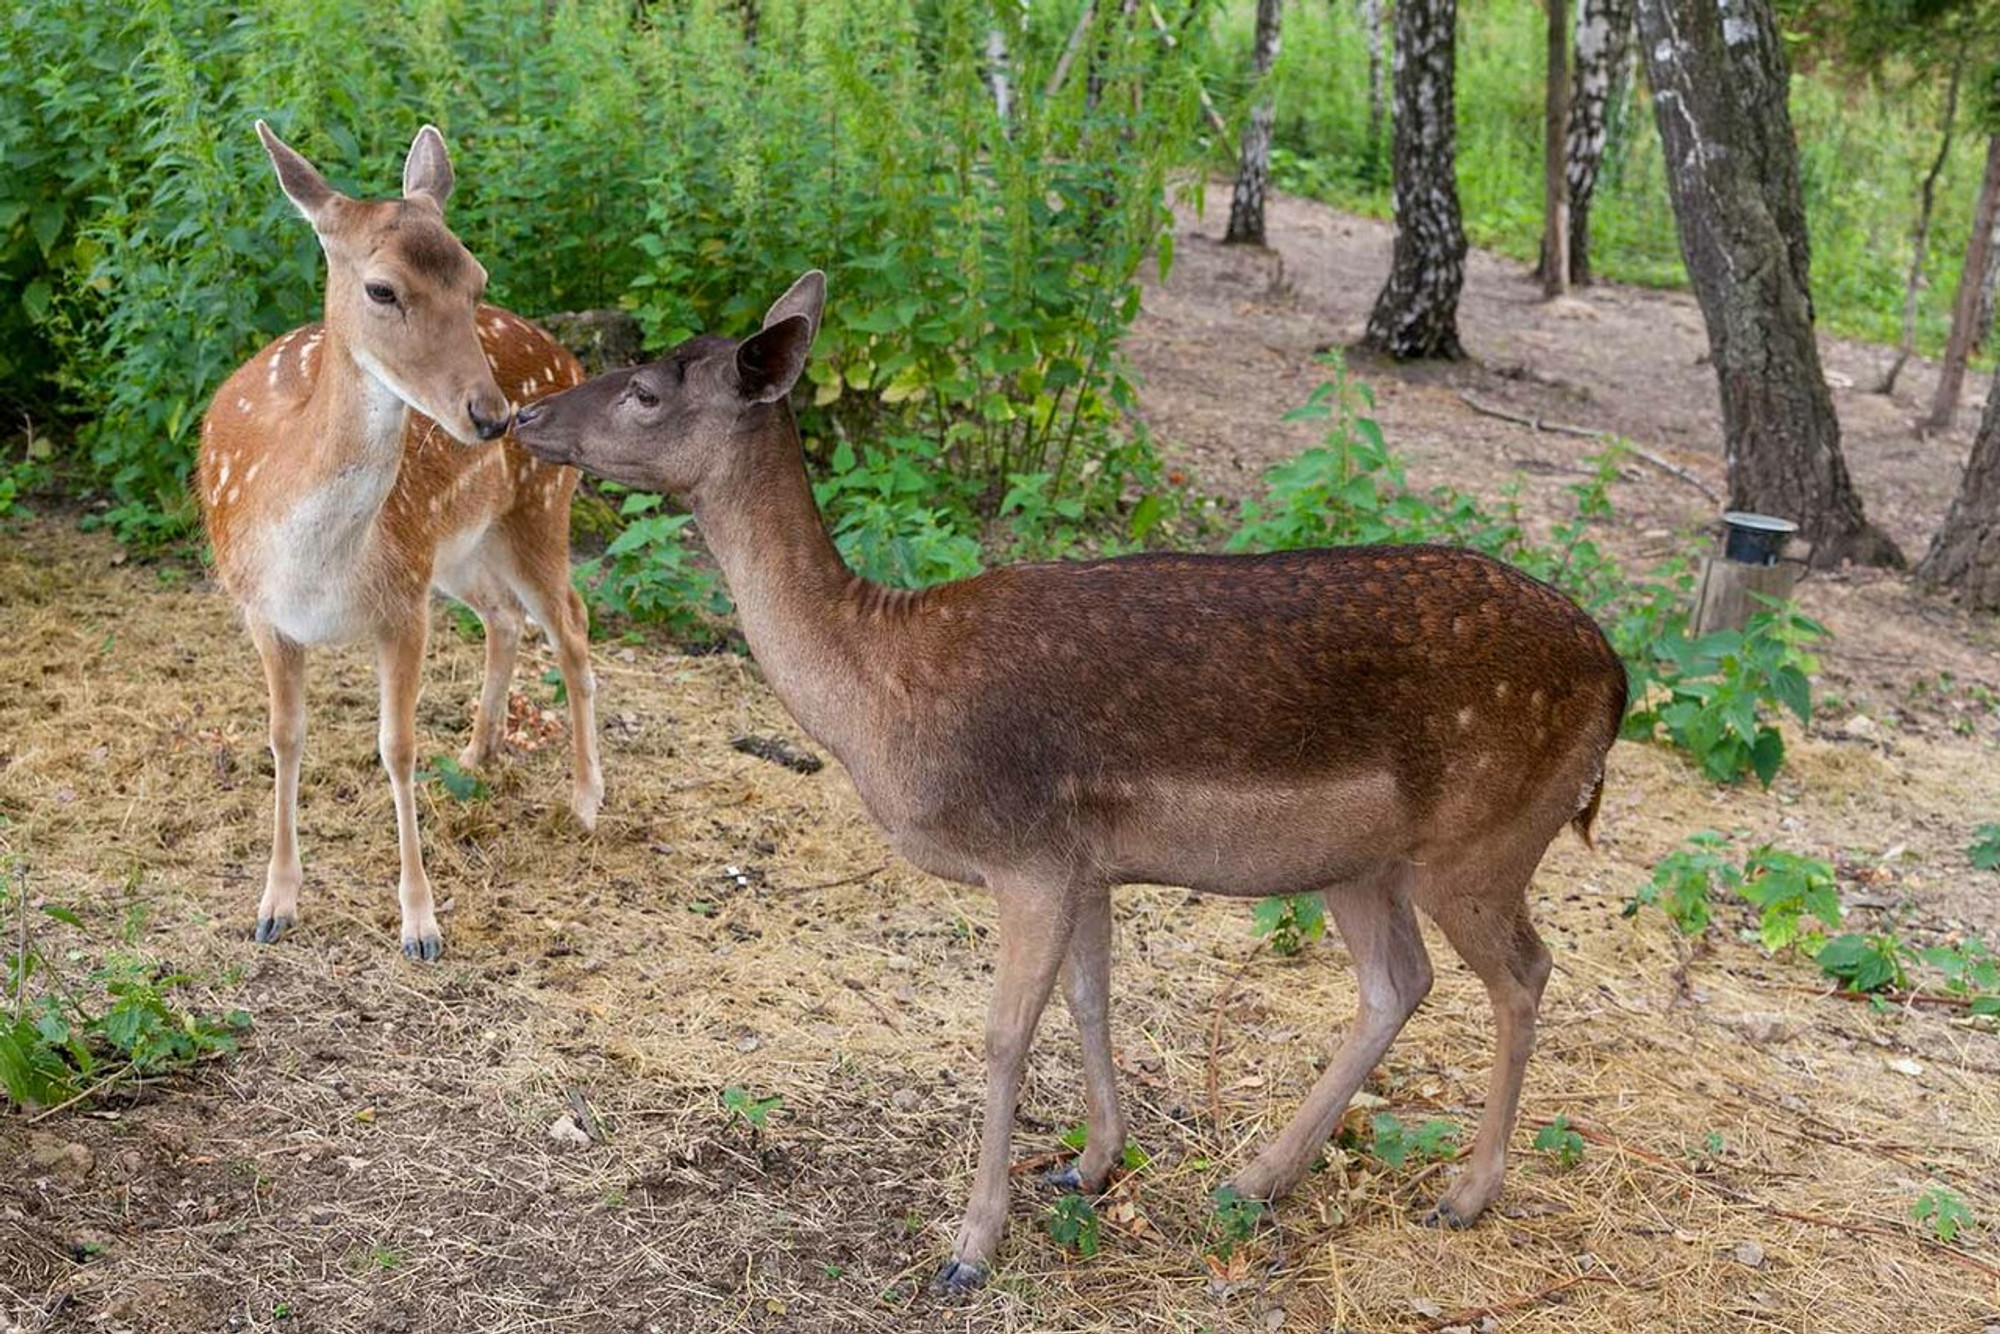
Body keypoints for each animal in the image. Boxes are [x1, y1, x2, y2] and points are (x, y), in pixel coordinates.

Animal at [203, 122, 608, 960]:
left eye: (476, 277)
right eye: (382, 289)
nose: (492, 415)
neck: (316, 565)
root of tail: (568, 352)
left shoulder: (402, 606)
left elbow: (397, 746)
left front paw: (420, 923)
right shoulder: (262, 610)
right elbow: (284, 738)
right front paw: (275, 904)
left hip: (539, 509)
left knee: (572, 624)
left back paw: (587, 798)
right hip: (459, 549)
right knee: (503, 616)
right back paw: (479, 753)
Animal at [508, 274, 1632, 1296]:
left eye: (645, 388)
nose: (518, 414)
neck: (880, 699)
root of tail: (1617, 679)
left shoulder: (1026, 853)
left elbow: (1005, 1036)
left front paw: (971, 1246)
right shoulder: (1087, 859)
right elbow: (1092, 1001)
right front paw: (1090, 1164)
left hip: (1483, 838)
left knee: (1523, 971)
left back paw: (1464, 1193)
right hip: (1360, 860)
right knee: (1399, 981)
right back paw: (1257, 1176)